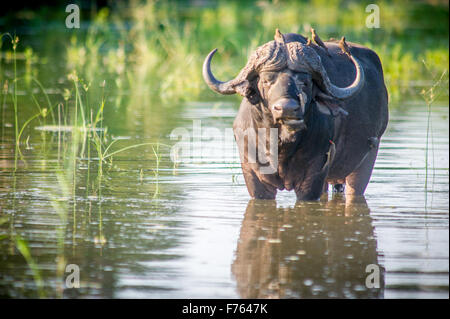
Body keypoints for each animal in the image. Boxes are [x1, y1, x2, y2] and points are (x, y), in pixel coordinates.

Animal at [202, 29, 388, 200]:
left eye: (305, 82)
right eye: (266, 80)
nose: (287, 108)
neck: (281, 144)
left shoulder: (314, 176)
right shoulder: (254, 175)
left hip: (368, 157)